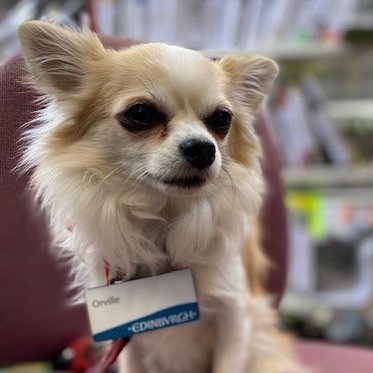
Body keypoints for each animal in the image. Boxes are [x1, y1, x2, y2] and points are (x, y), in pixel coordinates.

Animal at [18, 21, 302, 372]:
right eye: (141, 113)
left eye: (222, 119)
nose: (204, 148)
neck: (164, 220)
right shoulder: (128, 337)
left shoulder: (235, 317)